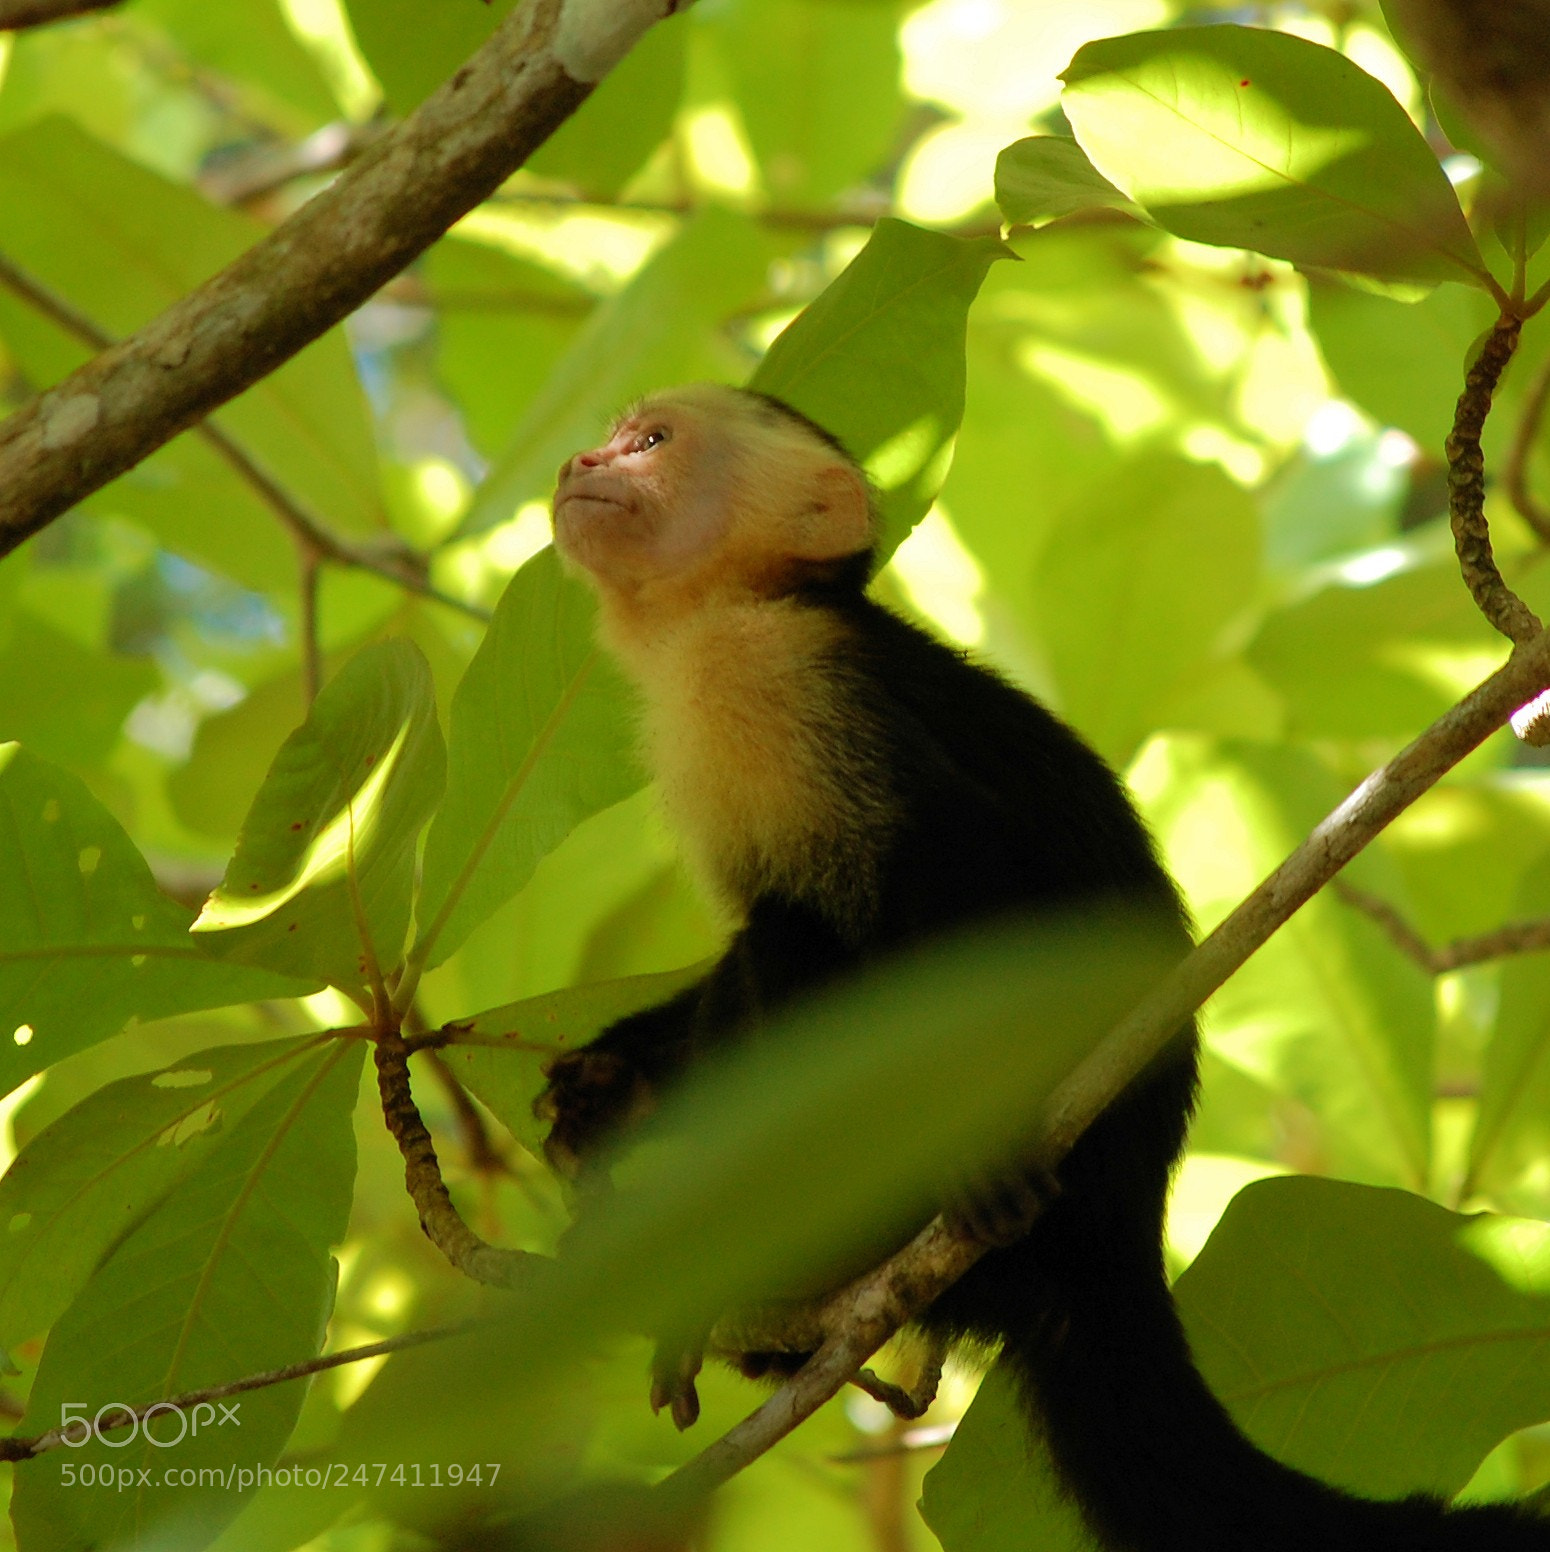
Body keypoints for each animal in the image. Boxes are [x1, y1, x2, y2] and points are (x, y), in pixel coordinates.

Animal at [534, 382, 1550, 1552]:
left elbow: (964, 866)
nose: (580, 463)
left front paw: (975, 1149)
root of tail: (1124, 1228)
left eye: (652, 441)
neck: (726, 615)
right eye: (616, 436)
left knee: (801, 939)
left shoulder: (788, 678)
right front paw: (608, 1081)